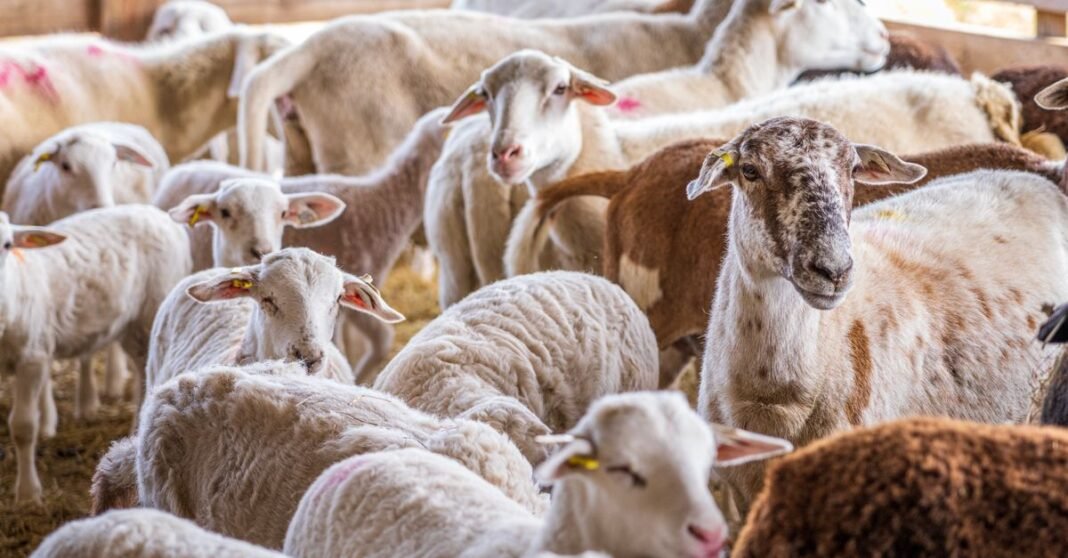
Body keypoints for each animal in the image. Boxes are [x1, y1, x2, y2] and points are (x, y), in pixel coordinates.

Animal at [0, 206, 190, 503]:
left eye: (7, 245)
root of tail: (157, 212)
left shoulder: (33, 356)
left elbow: (23, 426)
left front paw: (28, 493)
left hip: (151, 311)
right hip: (129, 325)